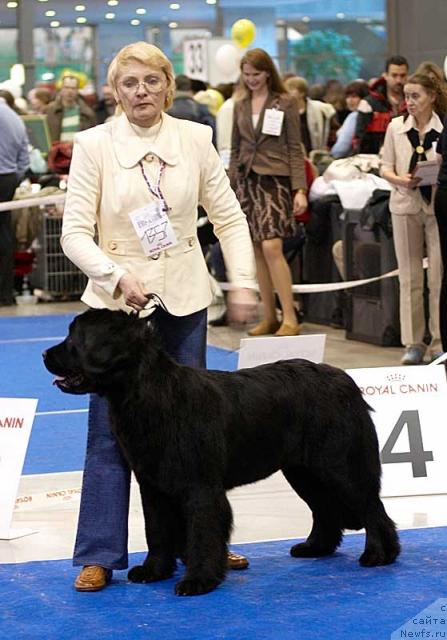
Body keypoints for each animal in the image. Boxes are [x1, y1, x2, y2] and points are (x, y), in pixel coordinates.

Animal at [43, 310, 400, 596]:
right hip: (304, 471)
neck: (147, 395)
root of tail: (345, 379)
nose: (45, 353)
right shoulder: (153, 486)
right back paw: (315, 548)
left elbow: (203, 534)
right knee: (325, 509)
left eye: (74, 338)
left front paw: (197, 581)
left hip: (340, 465)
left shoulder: (200, 488)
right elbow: (157, 530)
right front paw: (154, 571)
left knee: (372, 507)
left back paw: (379, 555)